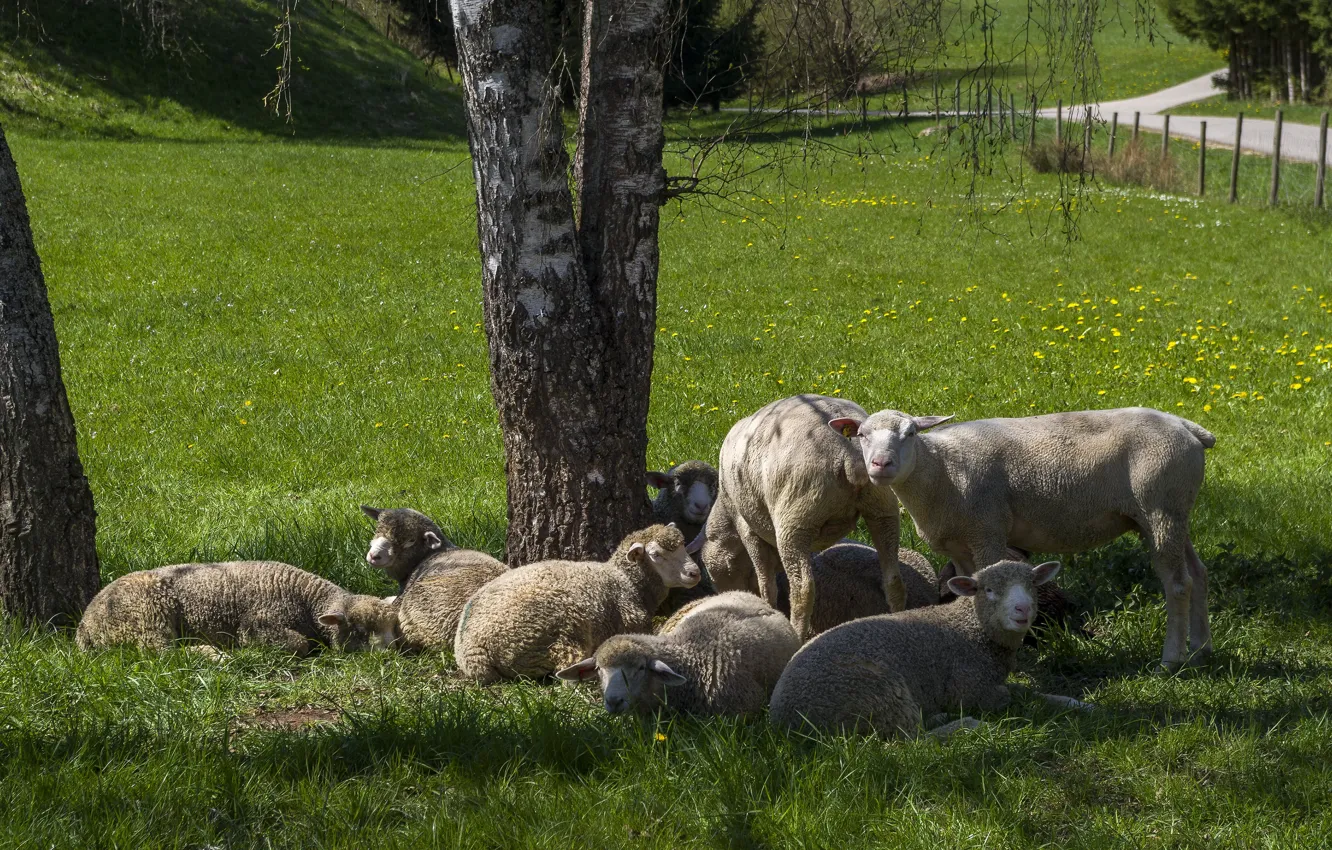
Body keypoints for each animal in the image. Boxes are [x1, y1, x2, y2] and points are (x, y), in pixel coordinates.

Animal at [76, 561, 399, 655]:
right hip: (147, 615)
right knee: (161, 653)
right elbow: (301, 644)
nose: (389, 654)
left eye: (391, 628)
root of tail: (85, 623)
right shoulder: (257, 625)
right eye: (359, 631)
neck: (305, 599)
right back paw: (213, 654)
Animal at [454, 524, 701, 683]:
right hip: (562, 632)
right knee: (567, 675)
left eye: (683, 546)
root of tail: (474, 650)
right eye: (656, 554)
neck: (625, 580)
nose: (694, 572)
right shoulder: (633, 622)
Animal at [703, 394, 905, 641]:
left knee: (803, 590)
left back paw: (797, 636)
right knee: (893, 578)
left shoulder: (748, 527)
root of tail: (851, 454)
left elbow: (766, 584)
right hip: (882, 507)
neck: (725, 507)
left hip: (795, 518)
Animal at [768, 559, 1061, 738]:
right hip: (876, 694)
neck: (972, 627)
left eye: (1032, 585)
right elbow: (1011, 696)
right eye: (988, 590)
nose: (1023, 609)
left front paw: (1068, 701)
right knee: (912, 742)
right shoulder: (971, 690)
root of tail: (786, 722)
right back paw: (961, 724)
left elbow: (1029, 691)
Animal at [827, 407, 1215, 671]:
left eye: (909, 433)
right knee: (1198, 574)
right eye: (861, 435)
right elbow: (971, 589)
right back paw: (1201, 649)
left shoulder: (987, 530)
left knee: (1177, 584)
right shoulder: (962, 542)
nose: (881, 464)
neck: (940, 470)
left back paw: (1172, 659)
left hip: (1160, 507)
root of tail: (1188, 428)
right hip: (1171, 512)